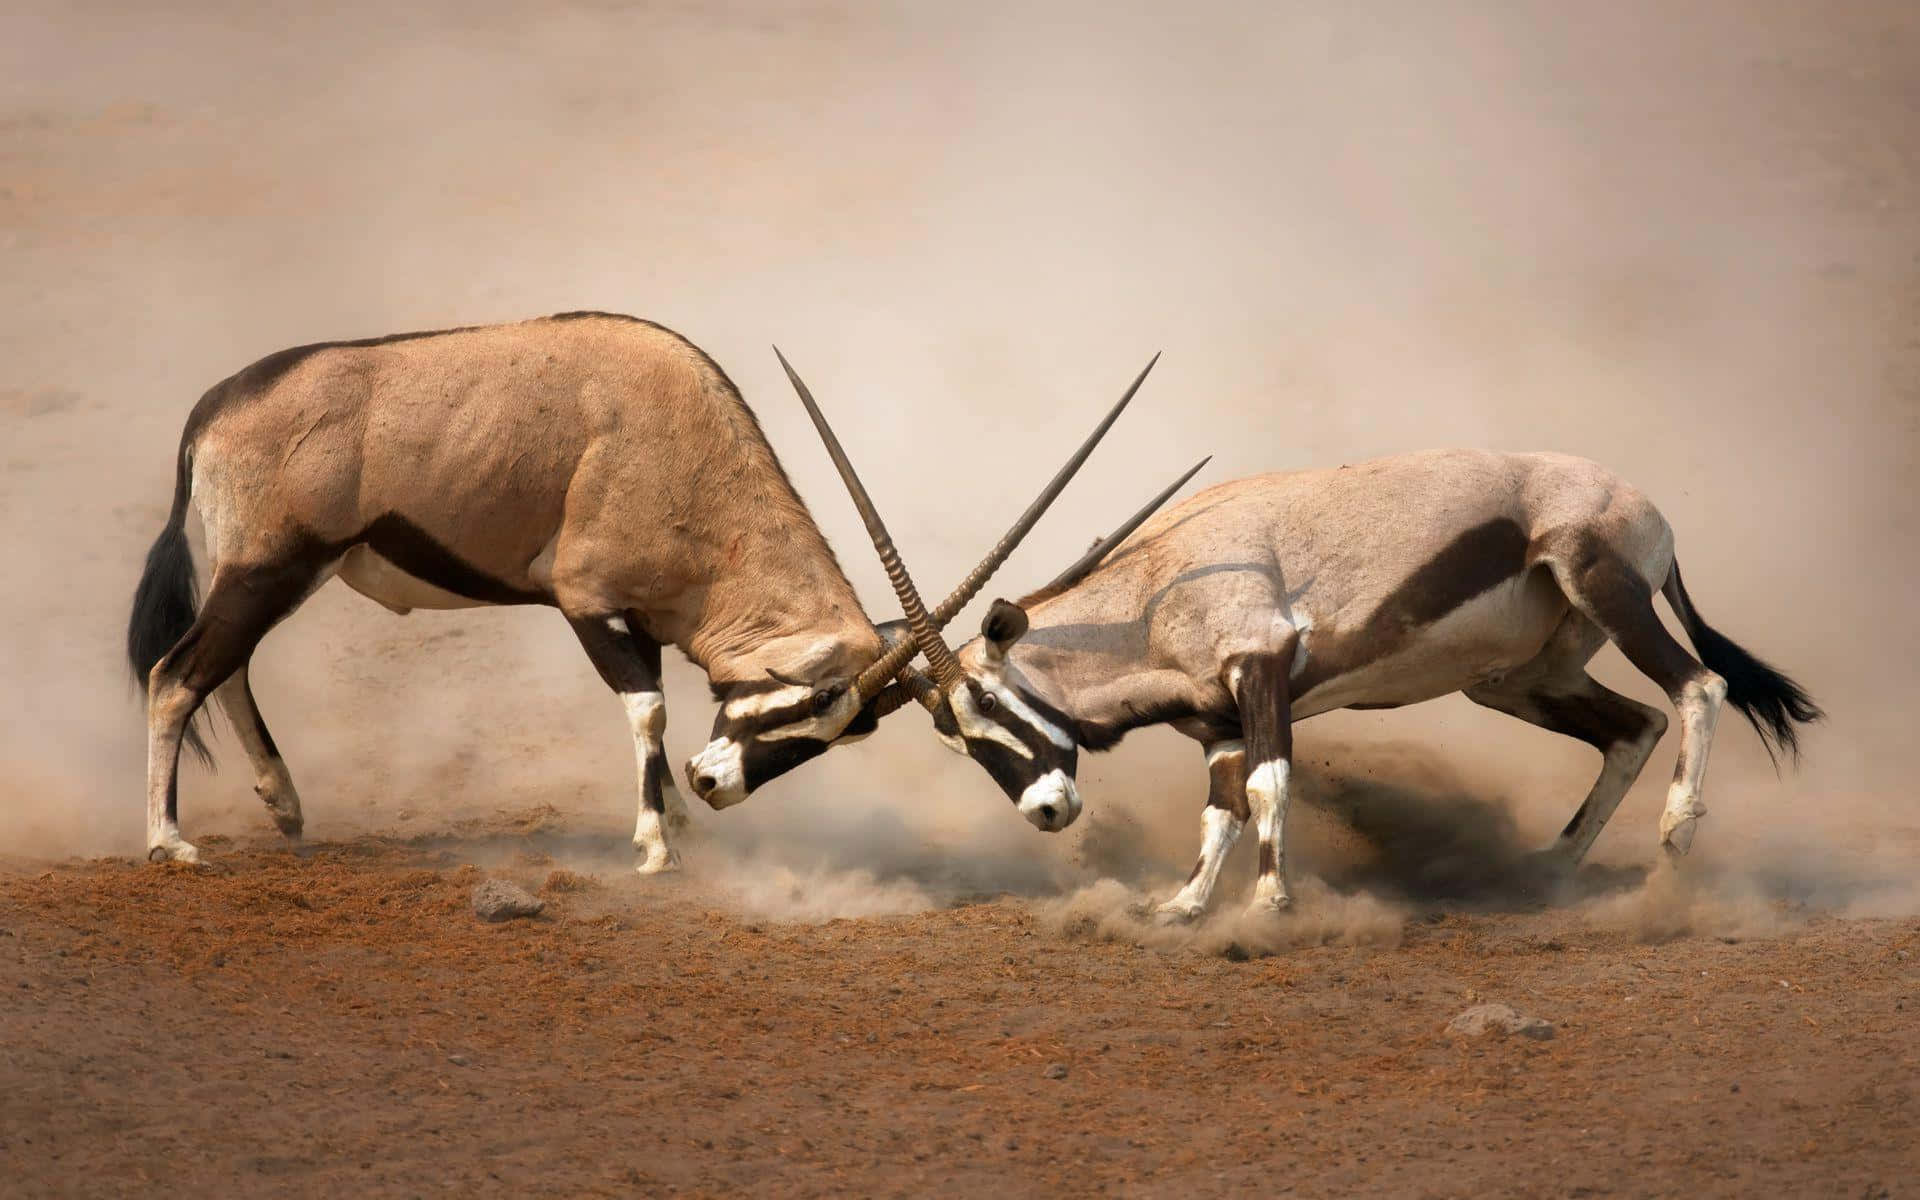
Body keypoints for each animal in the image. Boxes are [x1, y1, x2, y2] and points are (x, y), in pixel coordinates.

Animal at [127, 309, 1144, 871]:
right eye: (804, 701)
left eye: (837, 733)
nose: (716, 784)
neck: (680, 446)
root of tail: (214, 407)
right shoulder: (590, 603)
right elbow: (647, 708)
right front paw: (659, 844)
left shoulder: (647, 616)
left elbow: (653, 710)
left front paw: (675, 823)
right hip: (272, 567)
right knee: (178, 676)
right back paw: (170, 844)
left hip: (279, 574)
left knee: (227, 669)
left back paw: (284, 804)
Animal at [791, 426, 1812, 913]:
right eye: (955, 737)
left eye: (988, 704)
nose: (1047, 811)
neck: (1155, 591)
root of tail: (1643, 504)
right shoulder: (1215, 725)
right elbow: (1222, 811)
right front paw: (1182, 909)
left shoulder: (1263, 671)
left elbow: (1271, 787)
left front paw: (1270, 907)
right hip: (1518, 680)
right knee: (1634, 726)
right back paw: (1549, 870)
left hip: (1603, 588)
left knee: (1697, 687)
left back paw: (1673, 847)